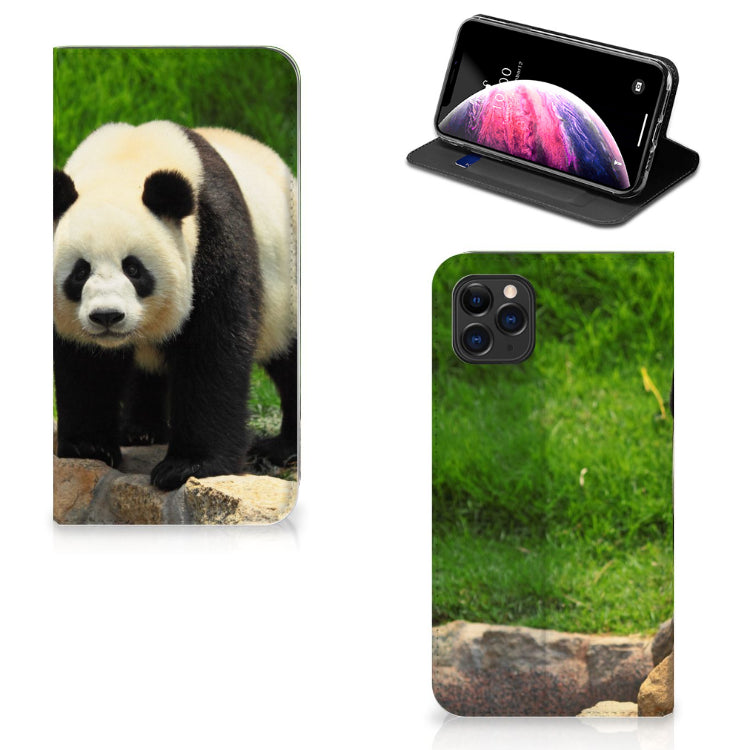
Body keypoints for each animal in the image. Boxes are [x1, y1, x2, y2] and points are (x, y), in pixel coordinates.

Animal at [53, 121, 298, 491]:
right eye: (80, 272)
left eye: (134, 269)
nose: (107, 316)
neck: (126, 159)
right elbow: (84, 363)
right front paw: (89, 446)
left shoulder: (213, 236)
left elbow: (212, 349)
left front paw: (187, 466)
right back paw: (140, 431)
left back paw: (280, 449)